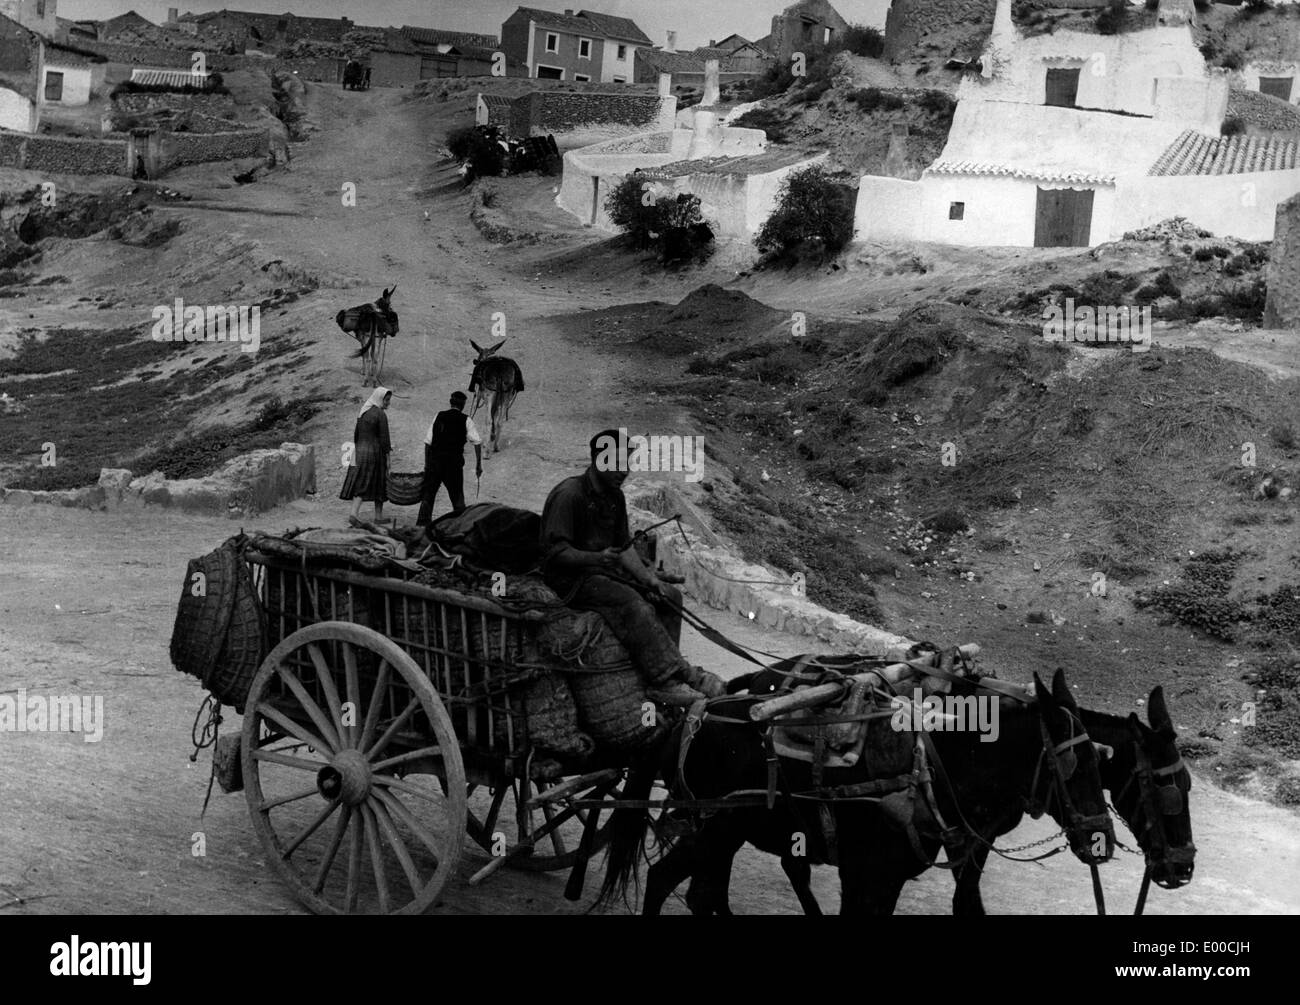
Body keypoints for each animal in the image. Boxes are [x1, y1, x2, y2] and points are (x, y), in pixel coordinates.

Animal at [598, 663, 1118, 915]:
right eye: (1073, 768)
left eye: (1102, 763)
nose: (1103, 841)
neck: (934, 769)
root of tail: (693, 715)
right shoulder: (868, 874)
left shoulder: (890, 878)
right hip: (713, 830)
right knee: (666, 881)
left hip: (724, 834)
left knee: (699, 892)